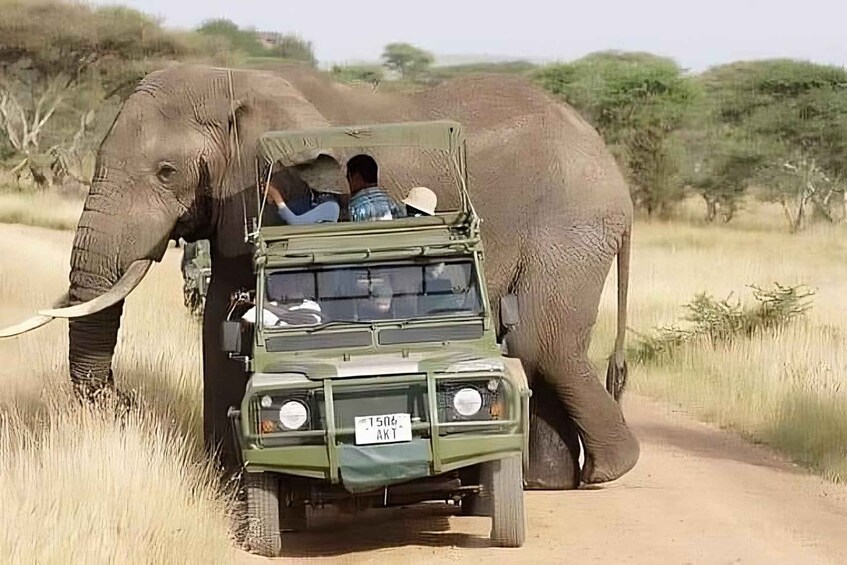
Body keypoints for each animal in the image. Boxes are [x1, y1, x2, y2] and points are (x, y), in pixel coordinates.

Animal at [0, 64, 638, 489]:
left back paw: (607, 473)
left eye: (166, 171)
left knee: (539, 338)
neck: (234, 79)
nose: (124, 398)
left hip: (570, 223)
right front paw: (225, 477)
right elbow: (220, 325)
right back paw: (552, 483)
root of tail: (614, 170)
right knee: (540, 345)